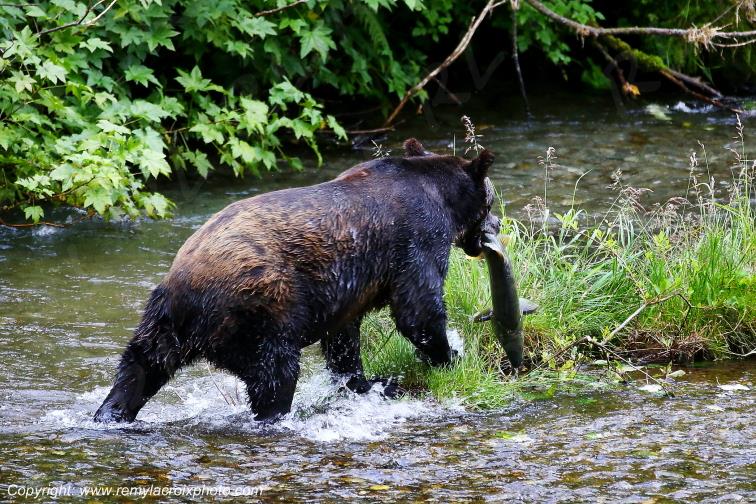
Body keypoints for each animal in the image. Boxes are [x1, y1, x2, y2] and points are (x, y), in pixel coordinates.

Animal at [93, 138, 498, 423]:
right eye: (491, 202)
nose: (495, 227)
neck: (442, 198)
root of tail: (184, 295)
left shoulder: (349, 287)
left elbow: (344, 339)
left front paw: (366, 382)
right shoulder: (418, 236)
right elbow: (419, 309)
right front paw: (450, 355)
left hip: (160, 323)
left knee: (140, 366)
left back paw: (110, 413)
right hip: (260, 308)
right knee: (274, 374)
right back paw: (276, 415)